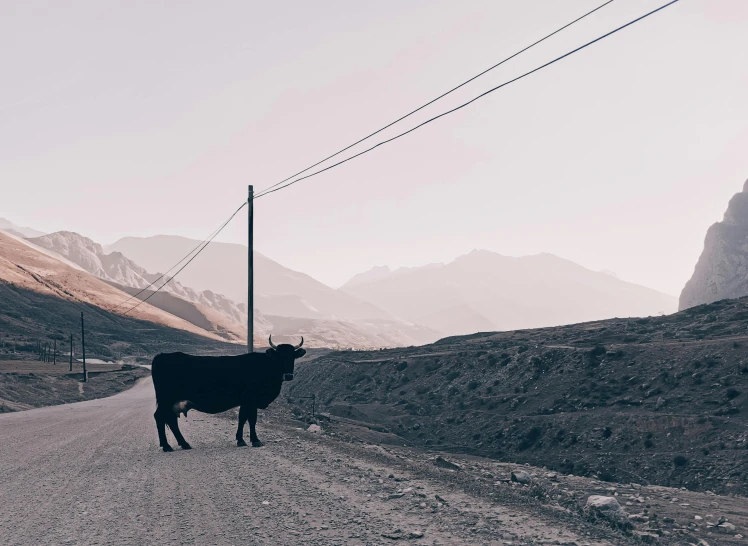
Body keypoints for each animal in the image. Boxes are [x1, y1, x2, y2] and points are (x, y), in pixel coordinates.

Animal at [150, 334, 306, 448]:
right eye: (279, 357)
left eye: (292, 357)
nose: (288, 376)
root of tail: (161, 355)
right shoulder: (250, 400)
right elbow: (251, 419)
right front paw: (254, 440)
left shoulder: (246, 402)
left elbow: (243, 419)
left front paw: (241, 440)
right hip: (166, 399)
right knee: (160, 417)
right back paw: (166, 446)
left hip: (172, 402)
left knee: (170, 420)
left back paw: (183, 444)